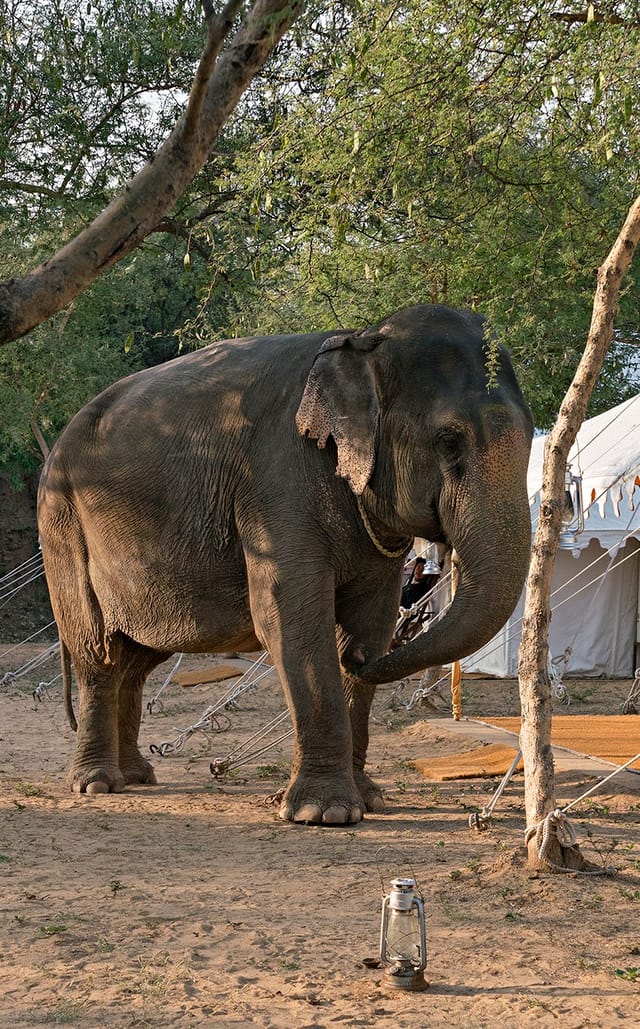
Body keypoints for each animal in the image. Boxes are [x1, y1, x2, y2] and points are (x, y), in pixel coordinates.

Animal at [37, 303, 533, 824]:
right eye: (449, 441)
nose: (361, 660)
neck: (362, 340)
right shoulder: (275, 485)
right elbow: (290, 620)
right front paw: (324, 814)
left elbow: (371, 619)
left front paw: (369, 800)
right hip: (62, 527)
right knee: (98, 652)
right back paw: (97, 784)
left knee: (136, 656)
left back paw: (136, 776)